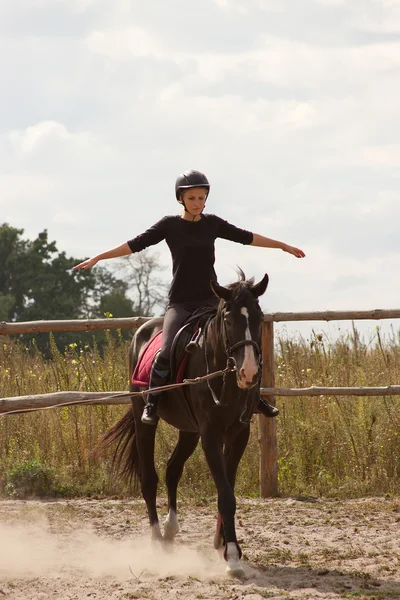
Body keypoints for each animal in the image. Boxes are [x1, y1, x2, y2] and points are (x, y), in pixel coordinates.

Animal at [99, 270, 268, 576]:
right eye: (228, 319)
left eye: (259, 316)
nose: (248, 371)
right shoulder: (210, 435)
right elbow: (226, 495)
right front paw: (232, 557)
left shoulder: (239, 433)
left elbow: (227, 488)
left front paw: (223, 543)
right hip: (144, 419)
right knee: (149, 477)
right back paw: (156, 539)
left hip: (189, 430)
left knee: (172, 470)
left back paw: (170, 530)